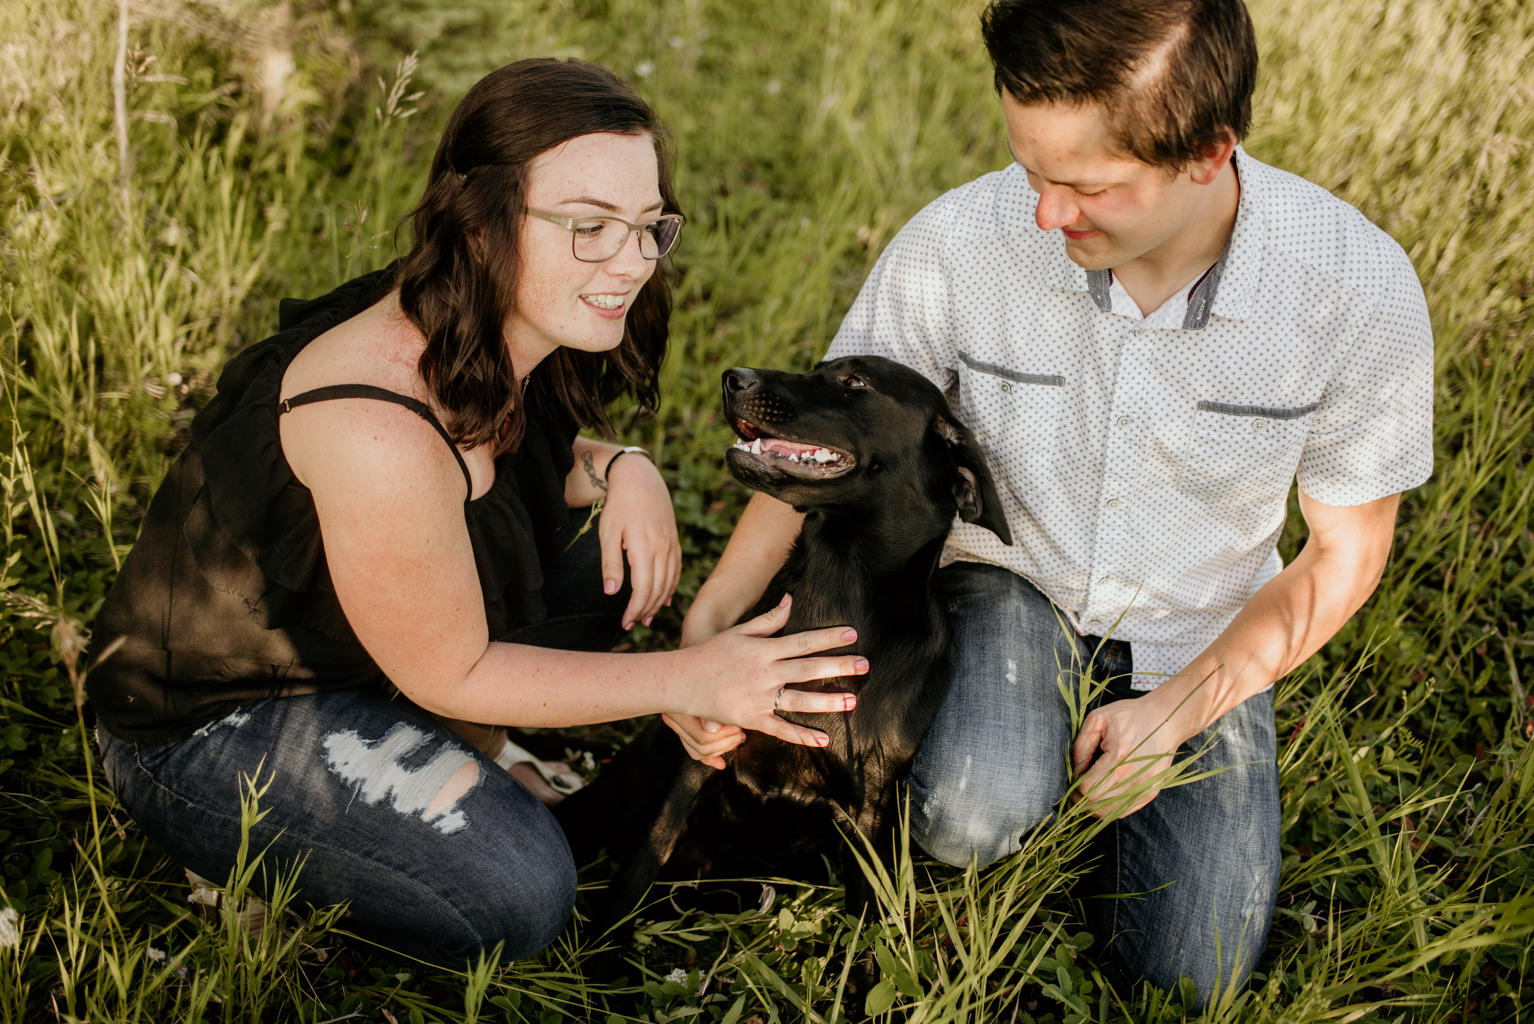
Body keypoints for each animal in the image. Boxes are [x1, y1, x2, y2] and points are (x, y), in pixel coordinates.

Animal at [558, 360, 1012, 938]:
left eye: (855, 383)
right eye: (819, 368)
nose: (734, 377)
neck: (838, 589)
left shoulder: (871, 807)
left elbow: (867, 924)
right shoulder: (702, 756)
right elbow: (643, 861)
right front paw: (603, 946)